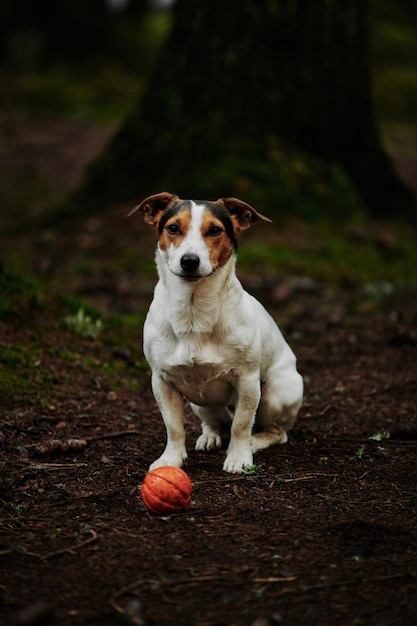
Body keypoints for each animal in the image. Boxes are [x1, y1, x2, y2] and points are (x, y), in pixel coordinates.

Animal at [129, 191, 302, 472]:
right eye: (173, 228)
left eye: (215, 230)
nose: (189, 261)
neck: (193, 311)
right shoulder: (162, 381)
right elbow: (173, 427)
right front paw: (171, 458)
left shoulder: (248, 381)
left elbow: (241, 425)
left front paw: (239, 457)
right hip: (199, 404)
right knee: (215, 422)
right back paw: (210, 436)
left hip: (275, 392)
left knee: (275, 431)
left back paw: (256, 441)